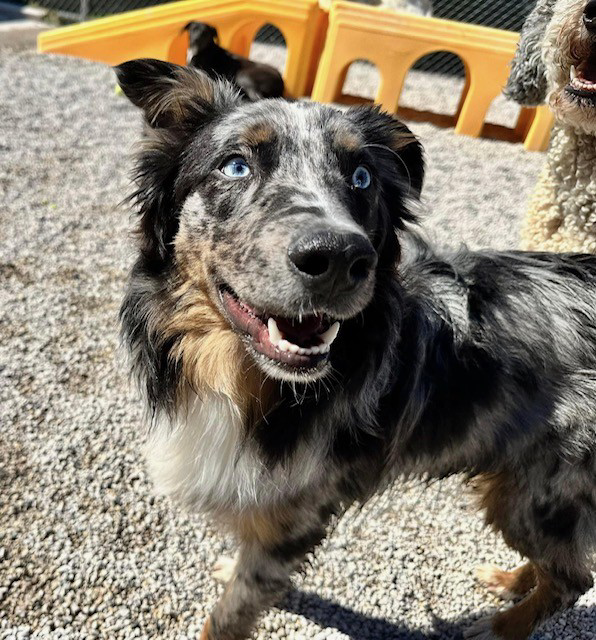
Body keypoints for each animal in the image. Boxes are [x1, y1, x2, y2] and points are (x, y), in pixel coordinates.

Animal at [115, 58, 596, 640]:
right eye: (235, 166)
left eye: (361, 177)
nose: (341, 258)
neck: (248, 383)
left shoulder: (293, 520)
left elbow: (231, 612)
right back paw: (512, 581)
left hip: (542, 491)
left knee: (573, 577)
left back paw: (501, 625)